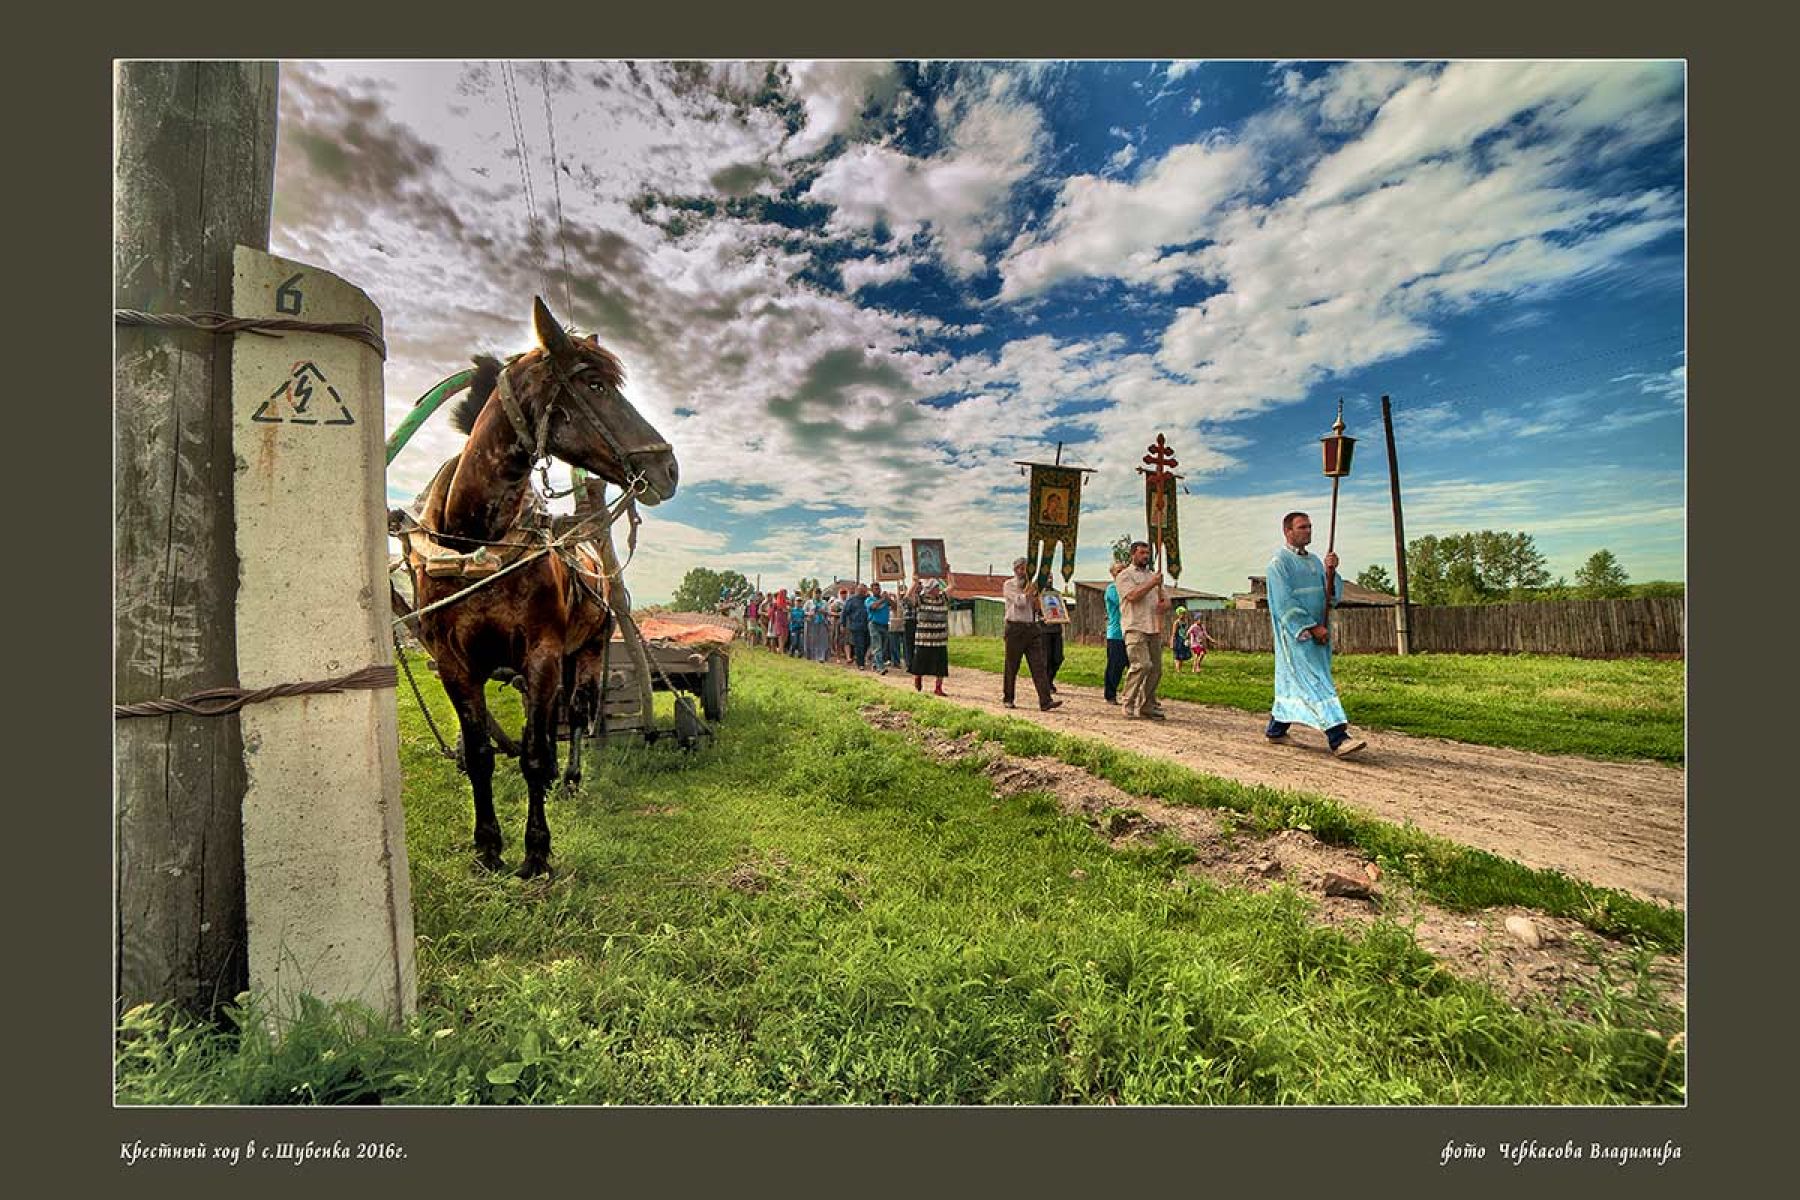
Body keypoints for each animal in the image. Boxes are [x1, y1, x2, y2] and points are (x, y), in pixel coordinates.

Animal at [405, 298, 676, 881]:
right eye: (595, 385)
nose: (669, 467)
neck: (475, 543)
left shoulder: (543, 652)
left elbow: (531, 750)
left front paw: (535, 852)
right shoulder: (455, 664)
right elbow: (481, 754)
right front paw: (487, 847)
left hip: (587, 649)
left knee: (573, 711)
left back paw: (568, 778)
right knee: (550, 717)